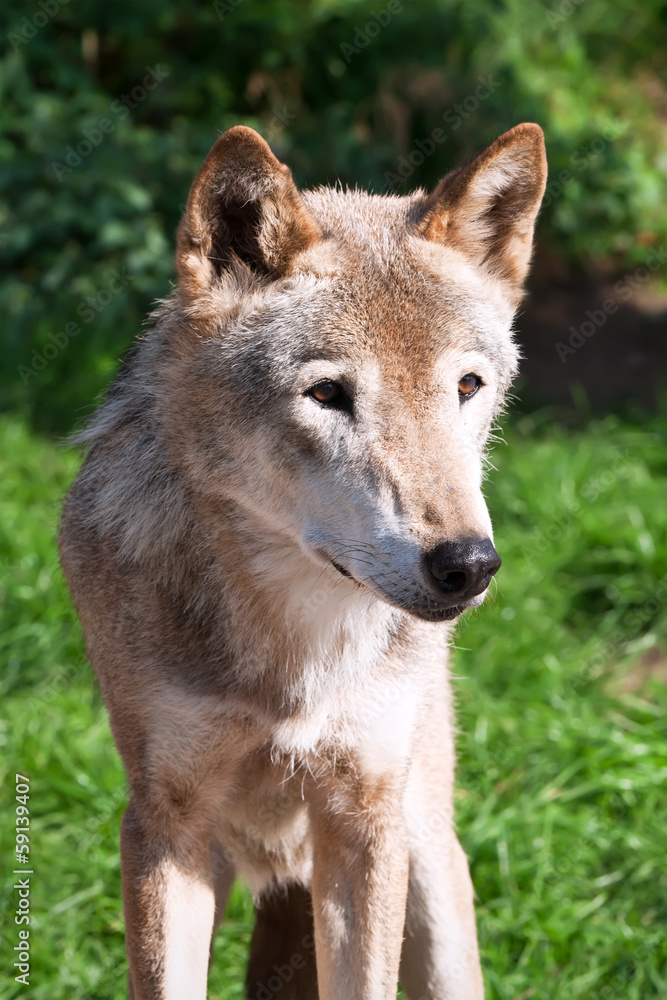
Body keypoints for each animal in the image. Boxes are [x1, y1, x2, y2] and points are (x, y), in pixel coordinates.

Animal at [59, 122, 547, 999]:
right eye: (327, 395)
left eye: (466, 386)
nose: (467, 564)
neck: (294, 644)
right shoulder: (162, 825)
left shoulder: (361, 820)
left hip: (426, 865)